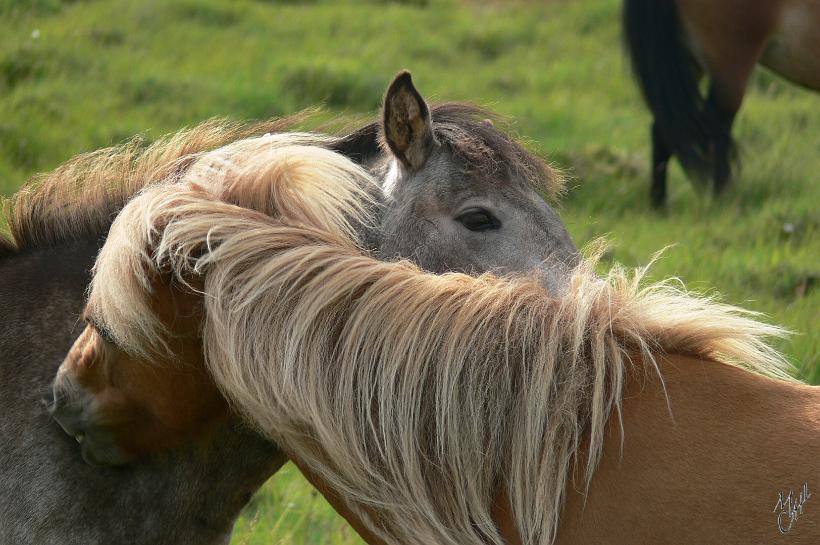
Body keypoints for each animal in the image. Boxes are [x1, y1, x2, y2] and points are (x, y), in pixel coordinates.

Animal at [624, 0, 816, 208]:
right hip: (729, 71)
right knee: (715, 128)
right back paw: (722, 200)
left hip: (686, 62)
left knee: (666, 128)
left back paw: (660, 205)